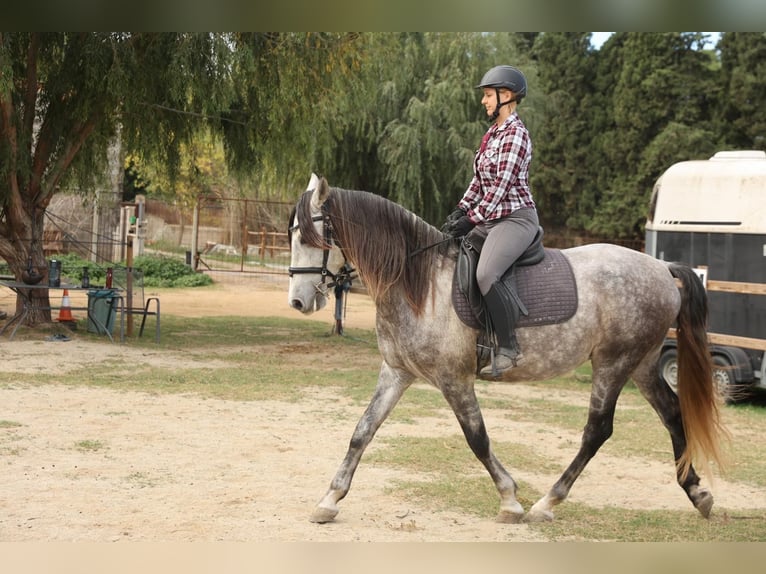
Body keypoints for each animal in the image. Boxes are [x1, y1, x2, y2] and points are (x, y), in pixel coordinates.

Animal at [287, 173, 727, 524]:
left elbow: (477, 438)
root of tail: (660, 268)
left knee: (597, 430)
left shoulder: (454, 379)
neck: (420, 282)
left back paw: (548, 503)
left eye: (311, 237)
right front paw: (329, 499)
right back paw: (697, 493)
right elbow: (362, 431)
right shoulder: (397, 372)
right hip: (641, 364)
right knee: (672, 413)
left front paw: (510, 500)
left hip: (613, 362)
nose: (298, 302)